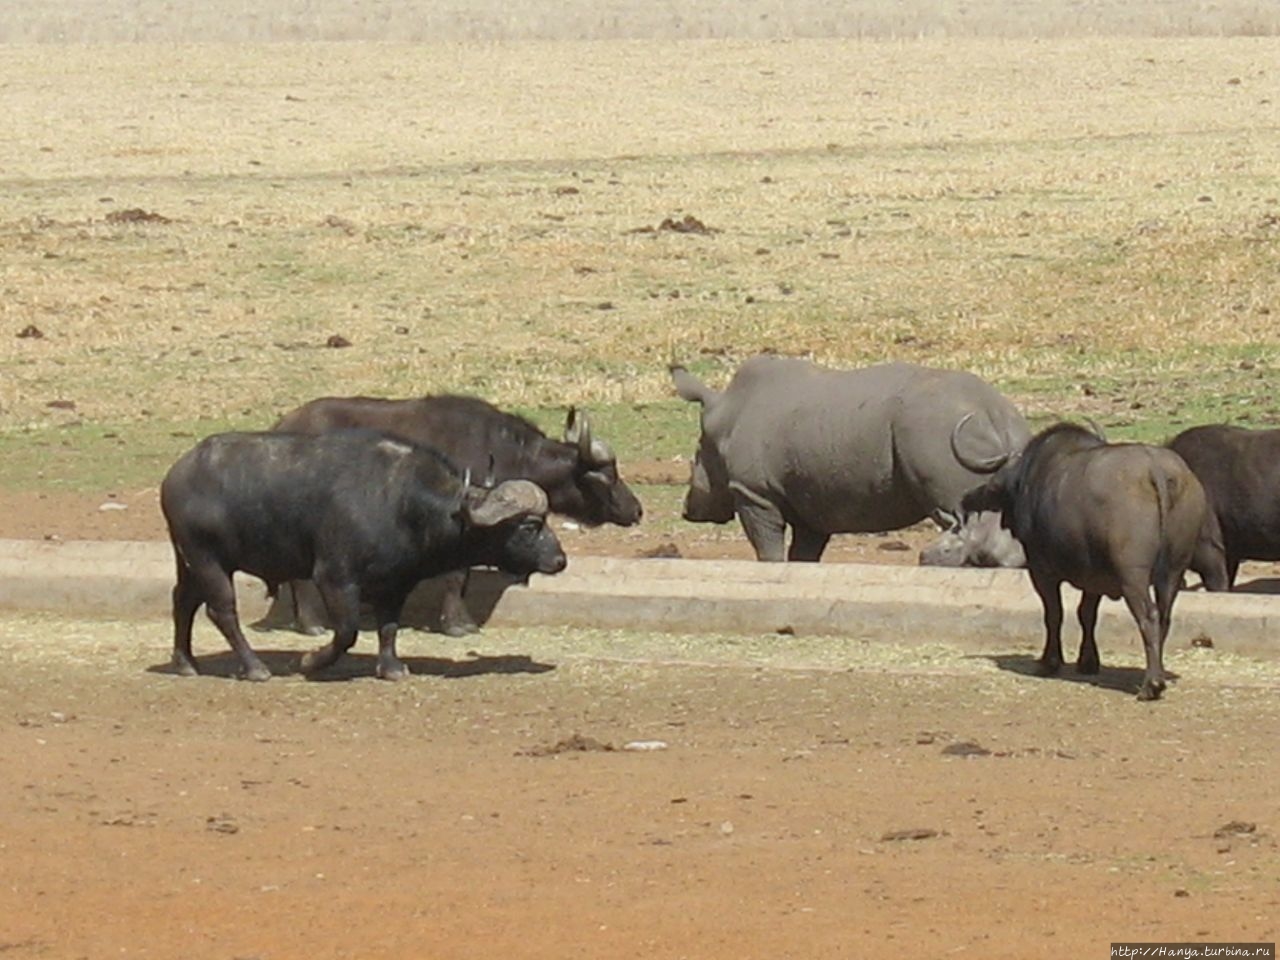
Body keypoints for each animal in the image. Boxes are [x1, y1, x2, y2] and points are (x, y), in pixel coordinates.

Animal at [160, 427, 565, 686]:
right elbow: (347, 631)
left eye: (545, 520)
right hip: (208, 560)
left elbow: (388, 626)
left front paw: (392, 668)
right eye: (530, 526)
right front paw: (311, 661)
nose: (560, 559)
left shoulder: (396, 584)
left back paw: (185, 663)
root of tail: (175, 476)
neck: (402, 504)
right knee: (221, 611)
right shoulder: (334, 578)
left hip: (189, 562)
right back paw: (255, 667)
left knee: (183, 601)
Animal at [276, 394, 645, 634]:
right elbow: (457, 575)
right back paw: (313, 624)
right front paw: (458, 623)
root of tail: (284, 423)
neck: (503, 453)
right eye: (607, 474)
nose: (636, 510)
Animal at [962, 424, 1203, 701]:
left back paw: (1151, 685)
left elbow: (1054, 614)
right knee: (1164, 617)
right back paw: (1158, 674)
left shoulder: (1041, 571)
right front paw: (1088, 661)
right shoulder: (1094, 578)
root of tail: (1157, 469)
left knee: (1149, 616)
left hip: (1133, 575)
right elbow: (1087, 614)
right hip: (1174, 572)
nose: (969, 499)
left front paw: (1049, 663)